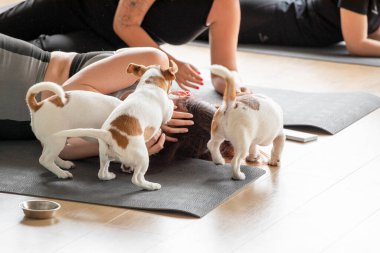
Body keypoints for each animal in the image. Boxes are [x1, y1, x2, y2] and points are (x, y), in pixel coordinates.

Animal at [56, 61, 178, 190]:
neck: (150, 84)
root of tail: (109, 134)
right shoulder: (167, 113)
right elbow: (169, 106)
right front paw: (173, 97)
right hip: (143, 158)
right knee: (137, 179)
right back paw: (151, 185)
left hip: (105, 156)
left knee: (102, 173)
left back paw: (110, 175)